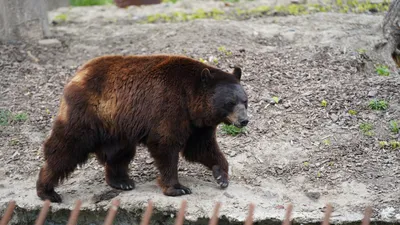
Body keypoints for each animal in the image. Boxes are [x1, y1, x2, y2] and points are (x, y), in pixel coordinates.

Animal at [36, 54, 248, 202]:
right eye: (230, 102)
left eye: (245, 100)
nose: (244, 120)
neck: (191, 100)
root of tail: (78, 74)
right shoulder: (169, 106)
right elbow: (166, 145)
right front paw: (177, 188)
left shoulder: (197, 124)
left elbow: (201, 148)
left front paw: (221, 176)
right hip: (87, 113)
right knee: (67, 147)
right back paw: (47, 190)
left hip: (117, 126)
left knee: (119, 152)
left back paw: (121, 181)